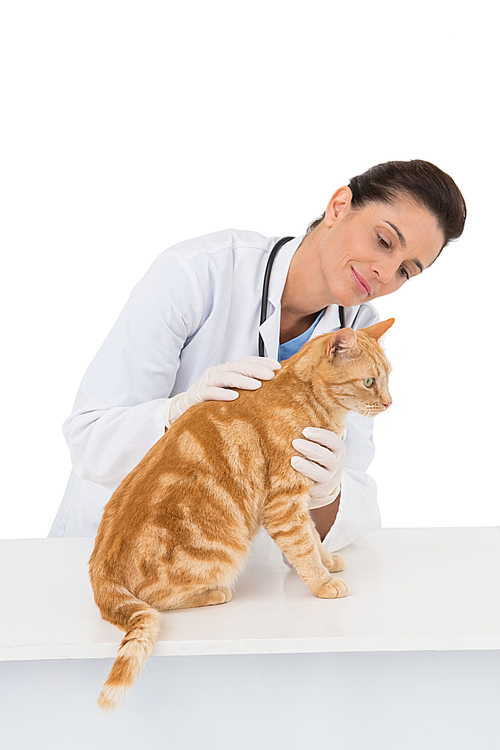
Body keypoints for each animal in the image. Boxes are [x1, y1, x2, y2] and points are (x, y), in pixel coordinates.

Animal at [90, 318, 394, 712]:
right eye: (370, 381)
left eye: (388, 377)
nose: (389, 402)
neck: (304, 397)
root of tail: (100, 569)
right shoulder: (283, 501)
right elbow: (303, 545)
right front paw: (323, 582)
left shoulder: (303, 491)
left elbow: (314, 535)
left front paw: (328, 561)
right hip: (225, 548)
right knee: (157, 601)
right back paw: (214, 594)